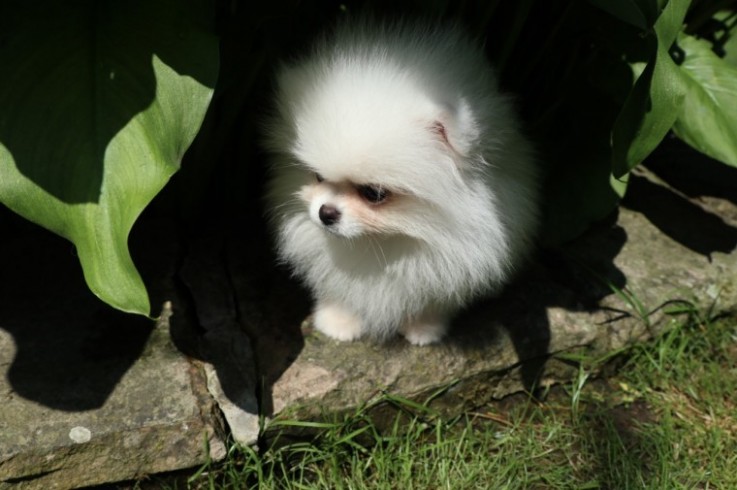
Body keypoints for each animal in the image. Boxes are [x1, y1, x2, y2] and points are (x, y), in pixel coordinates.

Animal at [264, 18, 536, 344]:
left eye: (374, 193)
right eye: (318, 176)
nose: (325, 213)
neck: (386, 240)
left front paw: (424, 328)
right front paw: (338, 321)